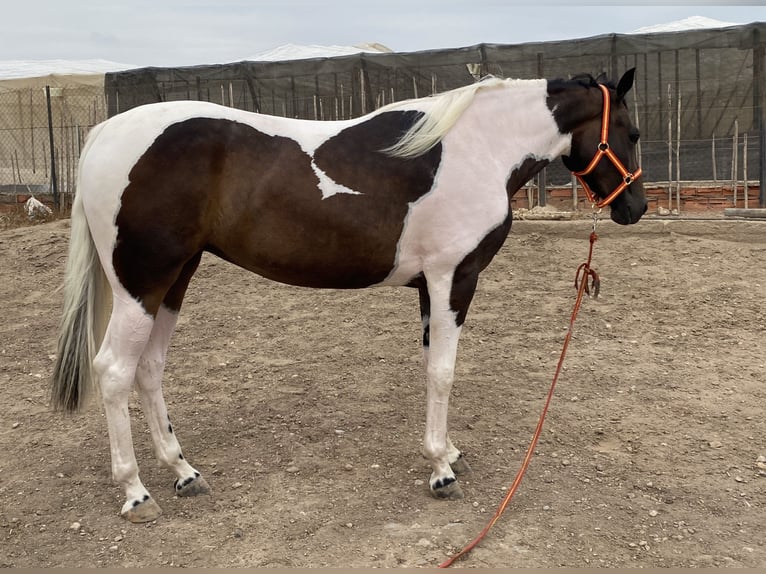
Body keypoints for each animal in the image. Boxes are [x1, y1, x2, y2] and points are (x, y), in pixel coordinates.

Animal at [52, 68, 646, 523]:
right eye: (633, 132)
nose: (635, 207)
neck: (478, 148)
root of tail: (102, 135)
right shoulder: (453, 279)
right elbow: (443, 372)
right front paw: (441, 470)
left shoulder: (430, 287)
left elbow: (430, 366)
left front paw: (447, 452)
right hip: (142, 284)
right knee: (114, 371)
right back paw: (136, 493)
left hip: (174, 280)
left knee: (149, 368)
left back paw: (183, 472)